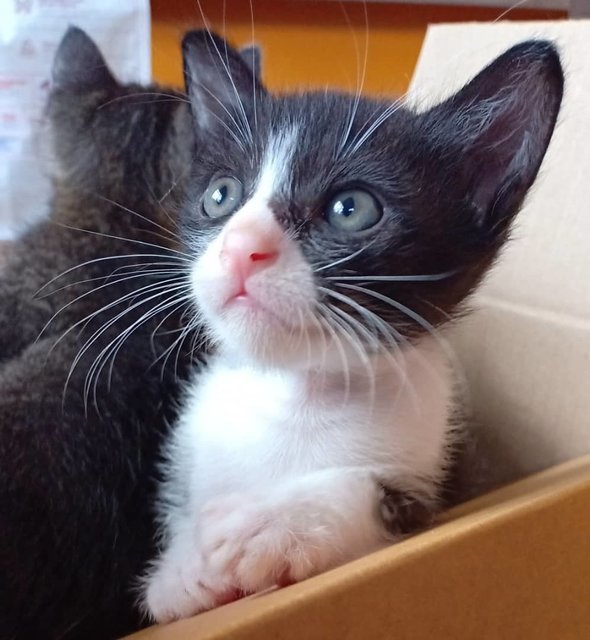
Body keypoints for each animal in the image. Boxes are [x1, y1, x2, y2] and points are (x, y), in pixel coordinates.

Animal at [143, 30, 564, 620]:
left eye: (351, 208)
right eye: (220, 195)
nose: (240, 247)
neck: (297, 394)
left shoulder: (453, 477)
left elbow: (375, 494)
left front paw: (270, 522)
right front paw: (181, 567)